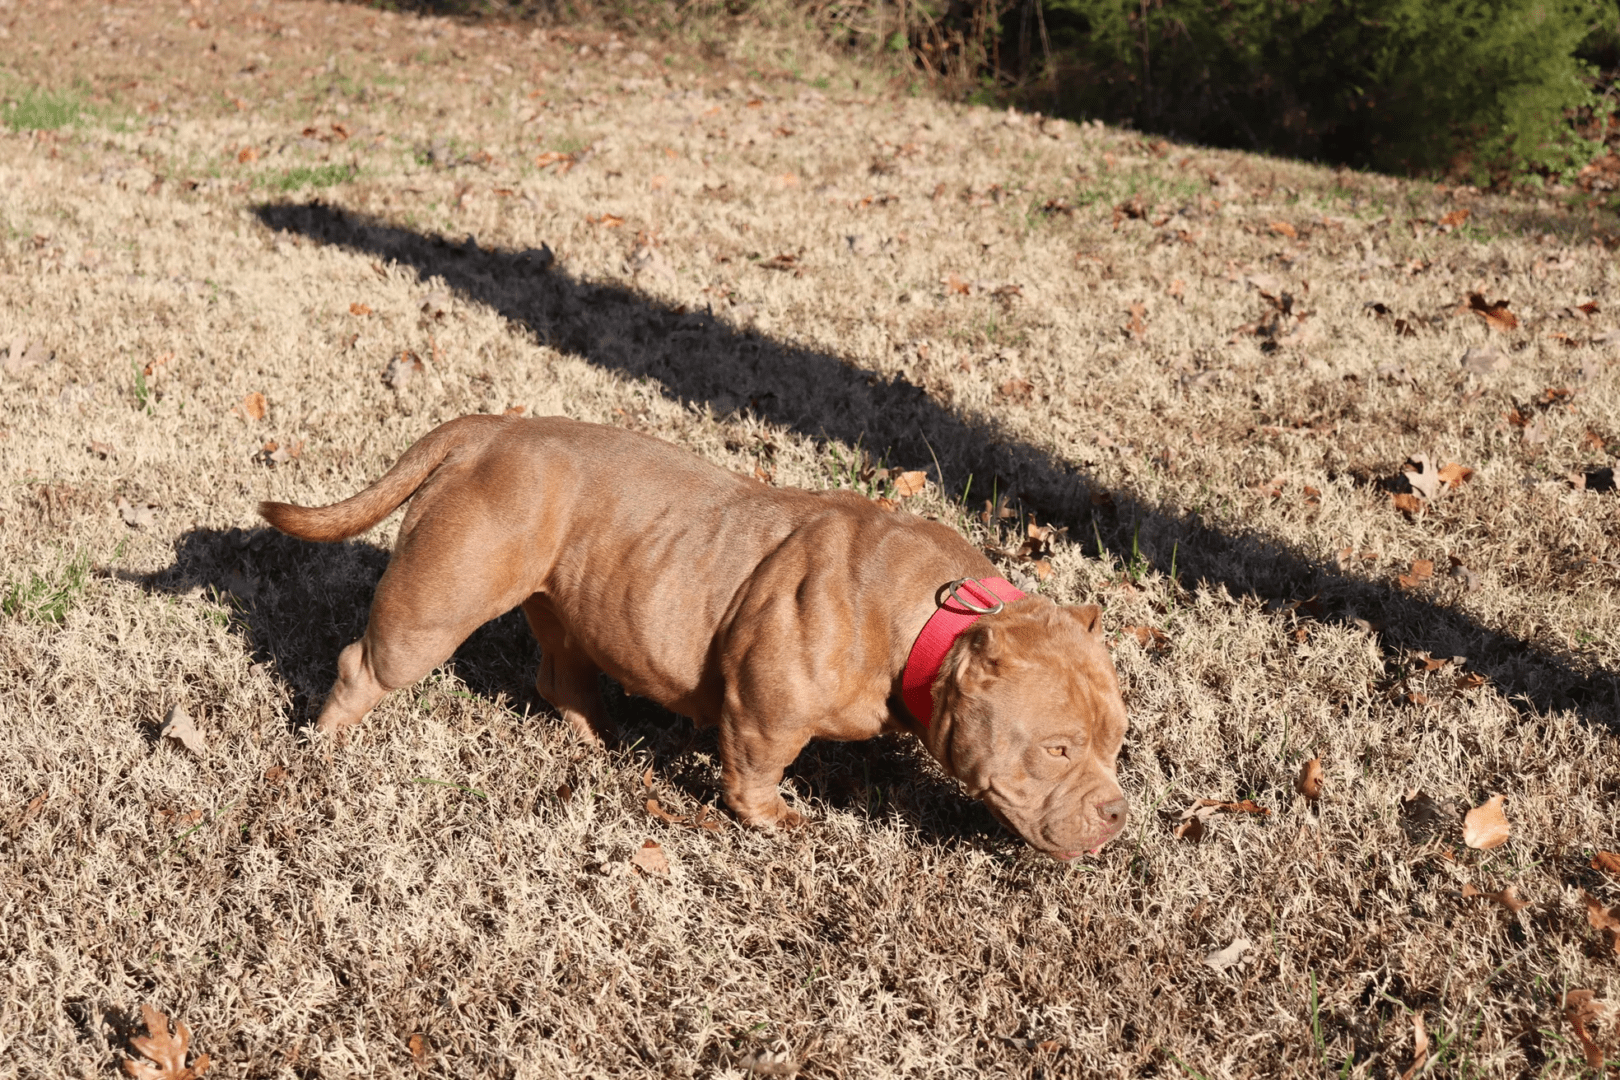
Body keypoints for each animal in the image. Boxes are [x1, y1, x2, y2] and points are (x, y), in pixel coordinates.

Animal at [262, 417, 1127, 861]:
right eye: (1056, 748)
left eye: (1116, 744)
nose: (1119, 814)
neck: (938, 618)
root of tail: (487, 432)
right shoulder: (766, 710)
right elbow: (757, 769)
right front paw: (772, 820)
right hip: (435, 610)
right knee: (367, 662)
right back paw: (325, 743)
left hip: (565, 599)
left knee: (563, 673)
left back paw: (600, 738)